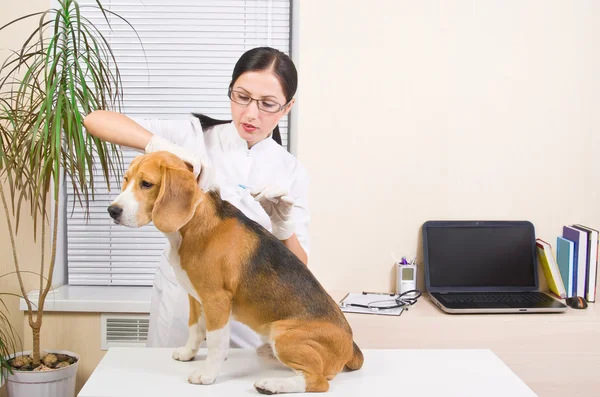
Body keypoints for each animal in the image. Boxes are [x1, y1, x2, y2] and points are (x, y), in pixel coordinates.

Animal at [106, 152, 364, 392]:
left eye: (146, 183)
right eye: (126, 179)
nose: (112, 211)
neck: (194, 225)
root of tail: (351, 344)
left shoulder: (216, 300)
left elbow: (215, 341)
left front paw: (207, 373)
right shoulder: (195, 297)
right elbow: (195, 329)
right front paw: (189, 353)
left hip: (284, 334)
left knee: (317, 381)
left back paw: (272, 384)